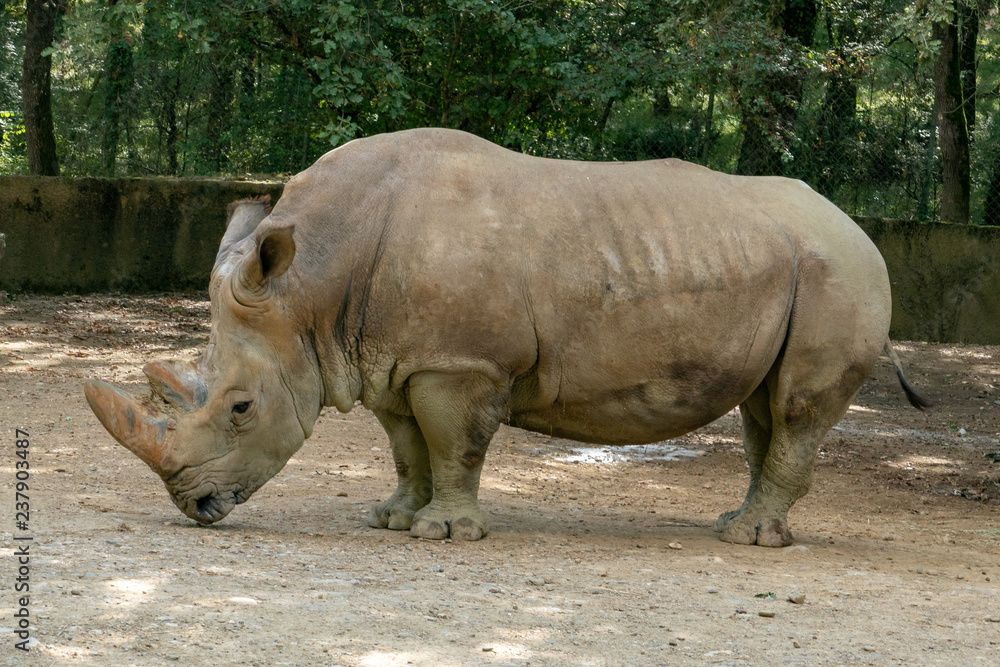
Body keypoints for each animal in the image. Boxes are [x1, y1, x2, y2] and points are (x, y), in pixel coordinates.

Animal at [85, 128, 930, 546]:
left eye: (240, 409)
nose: (192, 505)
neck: (312, 289)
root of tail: (863, 230)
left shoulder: (460, 364)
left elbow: (454, 444)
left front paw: (447, 532)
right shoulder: (390, 357)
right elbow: (407, 445)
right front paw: (394, 519)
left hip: (841, 272)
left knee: (793, 411)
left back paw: (749, 541)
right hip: (798, 268)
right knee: (762, 407)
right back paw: (736, 527)